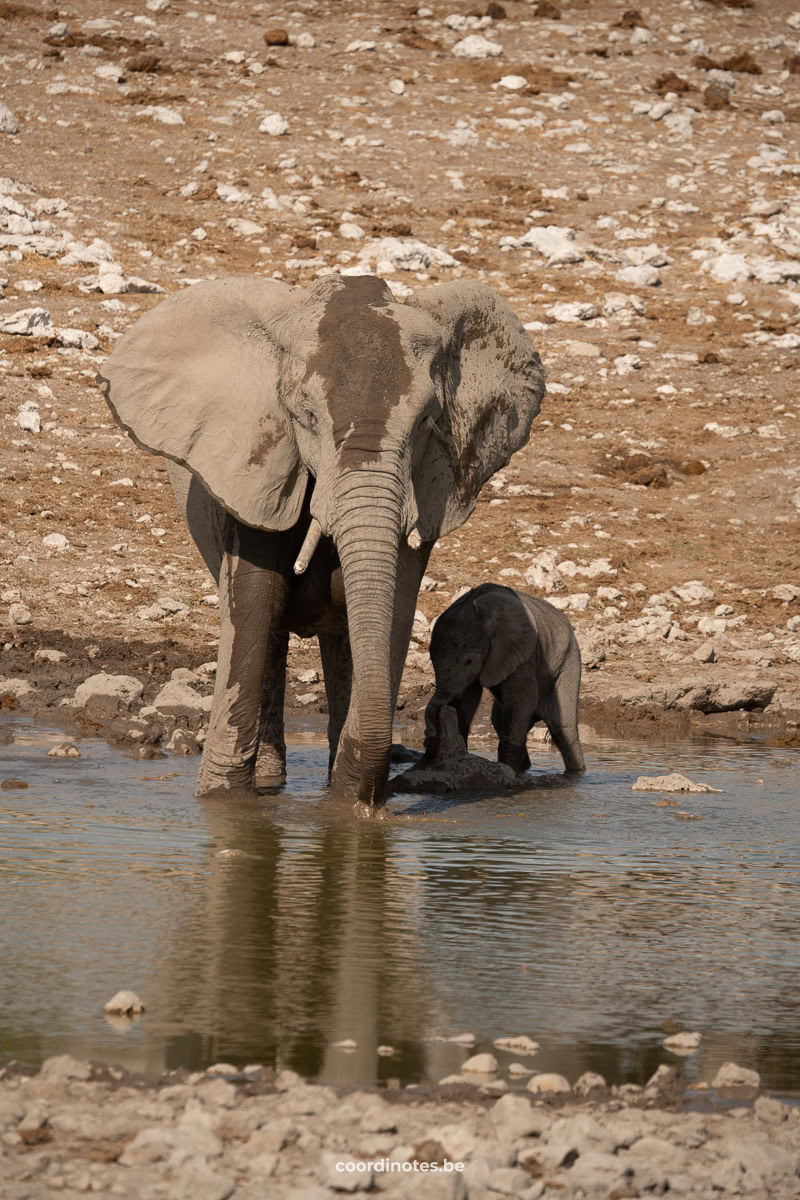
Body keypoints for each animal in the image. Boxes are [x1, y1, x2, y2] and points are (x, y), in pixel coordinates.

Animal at [100, 276, 546, 811]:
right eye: (305, 416)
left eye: (428, 421)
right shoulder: (259, 470)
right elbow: (254, 604)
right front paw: (225, 802)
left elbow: (392, 613)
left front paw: (348, 804)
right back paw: (270, 782)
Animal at [424, 583, 587, 772]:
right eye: (431, 658)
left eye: (468, 661)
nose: (428, 736)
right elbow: (468, 699)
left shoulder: (524, 650)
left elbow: (523, 700)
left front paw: (509, 771)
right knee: (499, 718)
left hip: (569, 661)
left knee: (562, 728)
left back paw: (577, 772)